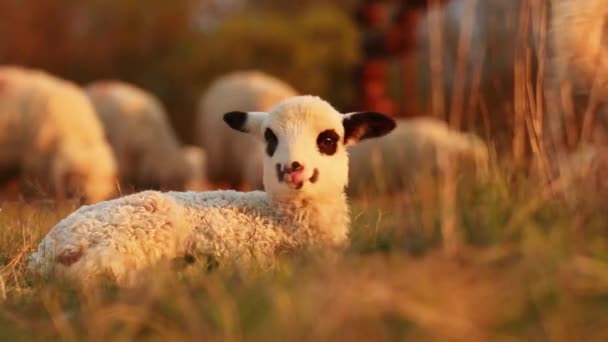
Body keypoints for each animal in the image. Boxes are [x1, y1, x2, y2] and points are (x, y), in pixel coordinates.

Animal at [28, 96, 396, 286]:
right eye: (270, 137)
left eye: (328, 139)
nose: (290, 167)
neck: (281, 217)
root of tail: (48, 250)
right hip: (138, 235)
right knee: (99, 273)